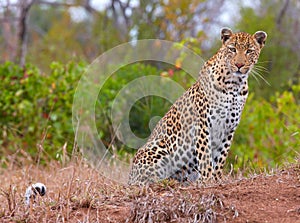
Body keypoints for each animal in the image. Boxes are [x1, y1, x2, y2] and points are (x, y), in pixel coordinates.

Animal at [127, 27, 268, 185]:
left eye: (249, 51)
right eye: (232, 49)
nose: (239, 65)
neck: (234, 85)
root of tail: (130, 177)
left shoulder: (229, 129)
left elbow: (220, 157)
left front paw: (216, 179)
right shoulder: (203, 124)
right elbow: (205, 155)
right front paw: (207, 180)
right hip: (158, 148)